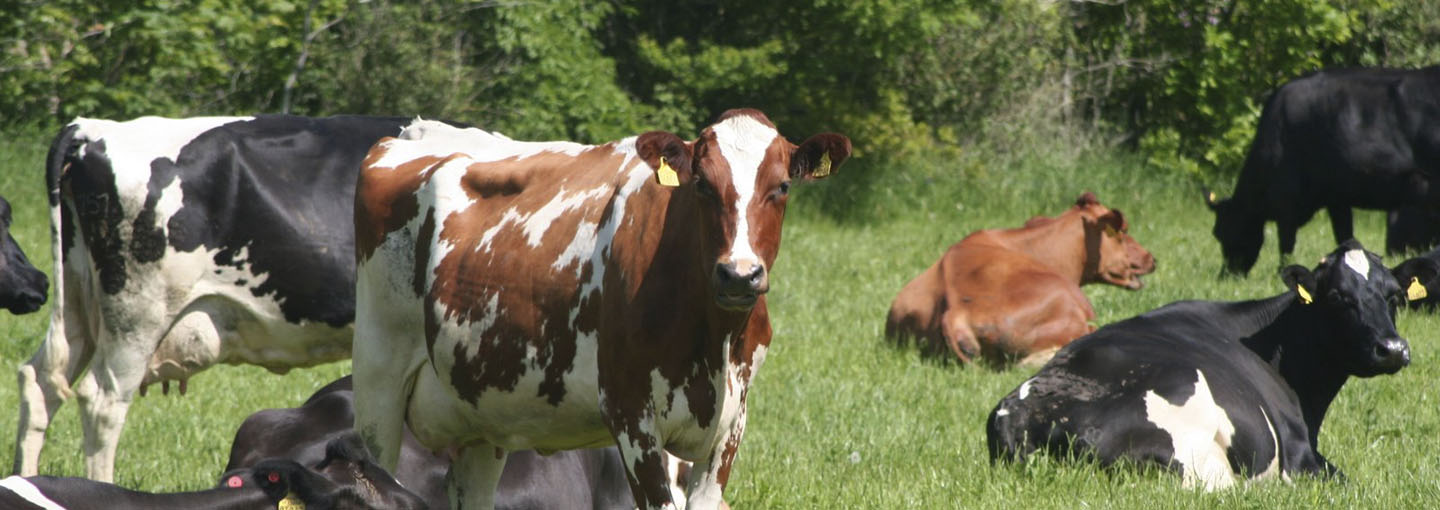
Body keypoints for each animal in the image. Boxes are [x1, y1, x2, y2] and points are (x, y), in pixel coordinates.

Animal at [351, 109, 840, 507]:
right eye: (702, 184)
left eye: (781, 187)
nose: (739, 275)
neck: (712, 340)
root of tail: (413, 133)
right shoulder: (631, 416)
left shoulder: (731, 424)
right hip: (378, 381)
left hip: (481, 410)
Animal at [1203, 66, 1440, 275]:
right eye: (1216, 233)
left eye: (1222, 232)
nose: (1227, 275)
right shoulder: (1337, 198)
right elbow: (1345, 236)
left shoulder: (1286, 200)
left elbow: (1286, 243)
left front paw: (1281, 271)